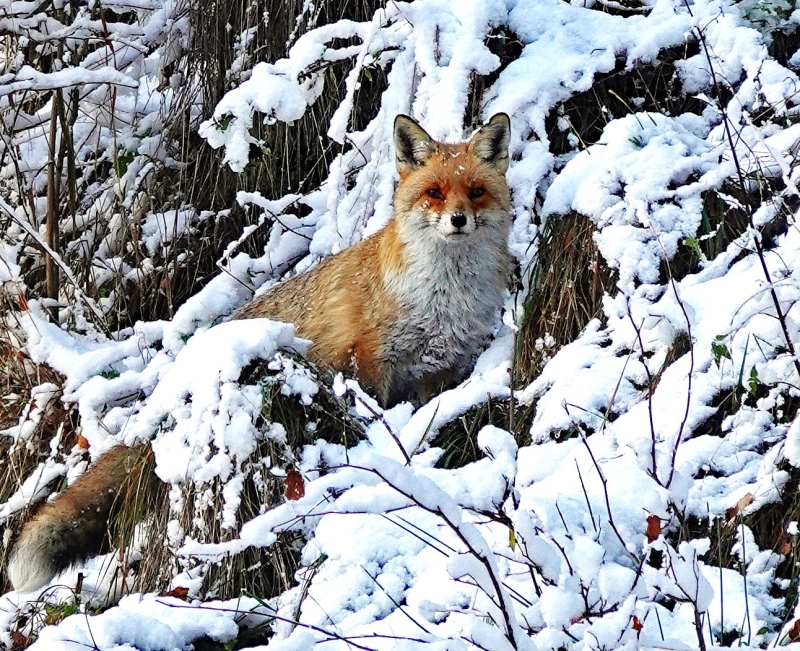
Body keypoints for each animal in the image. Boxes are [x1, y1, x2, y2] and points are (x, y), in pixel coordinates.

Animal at [6, 113, 513, 593]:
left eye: (475, 192)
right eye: (434, 193)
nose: (458, 220)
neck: (443, 300)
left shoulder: (441, 371)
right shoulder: (368, 360)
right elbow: (377, 421)